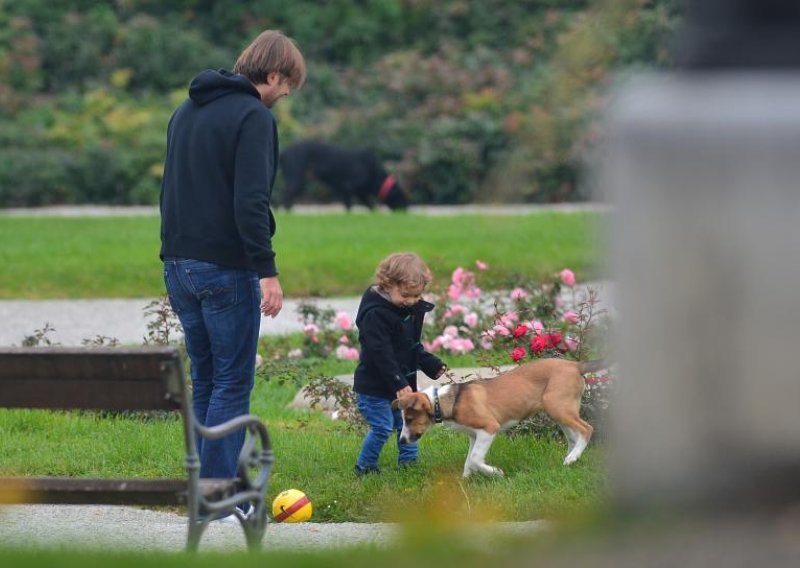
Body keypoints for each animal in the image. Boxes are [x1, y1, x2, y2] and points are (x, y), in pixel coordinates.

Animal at [278, 141, 410, 212]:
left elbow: (371, 206)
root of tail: (283, 153)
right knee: (286, 197)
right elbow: (349, 206)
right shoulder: (348, 188)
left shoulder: (360, 193)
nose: (406, 209)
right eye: (401, 197)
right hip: (297, 179)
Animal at [390, 360, 604, 474]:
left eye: (409, 419)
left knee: (587, 429)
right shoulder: (474, 435)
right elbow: (469, 460)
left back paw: (572, 457)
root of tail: (576, 364)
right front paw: (465, 481)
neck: (441, 402)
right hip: (560, 410)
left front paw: (495, 472)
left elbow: (475, 458)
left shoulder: (489, 428)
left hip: (558, 406)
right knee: (574, 436)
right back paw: (571, 459)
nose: (402, 440)